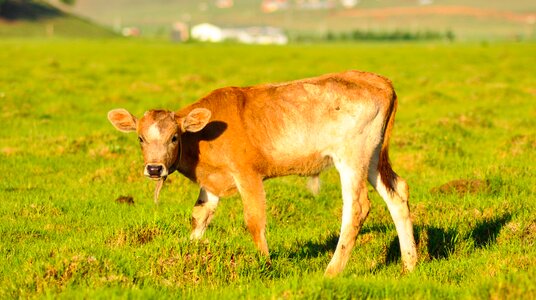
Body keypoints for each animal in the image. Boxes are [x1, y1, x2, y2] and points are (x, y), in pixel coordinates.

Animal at [108, 70, 418, 276]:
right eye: (140, 138)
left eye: (174, 137)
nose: (154, 168)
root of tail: (376, 79)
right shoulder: (212, 182)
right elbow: (199, 216)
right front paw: (189, 255)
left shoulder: (247, 173)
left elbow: (254, 220)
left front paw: (265, 264)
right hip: (373, 157)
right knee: (397, 193)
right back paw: (410, 264)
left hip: (352, 156)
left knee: (357, 208)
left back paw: (332, 271)